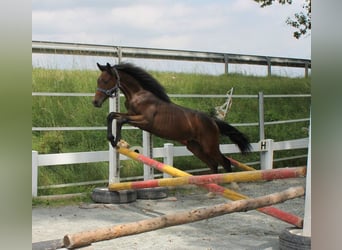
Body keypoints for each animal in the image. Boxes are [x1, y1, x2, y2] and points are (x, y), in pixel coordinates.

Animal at [91, 62, 251, 173]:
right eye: (98, 80)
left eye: (105, 81)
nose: (95, 102)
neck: (138, 95)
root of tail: (213, 121)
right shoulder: (132, 115)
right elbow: (112, 116)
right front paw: (112, 139)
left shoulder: (145, 121)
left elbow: (120, 120)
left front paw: (116, 141)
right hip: (195, 147)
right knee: (213, 164)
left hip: (209, 146)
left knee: (225, 162)